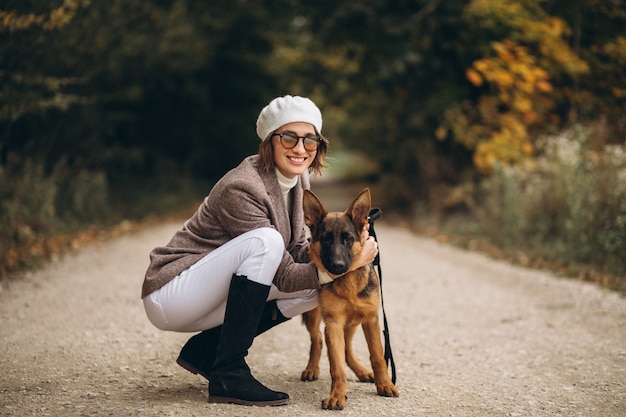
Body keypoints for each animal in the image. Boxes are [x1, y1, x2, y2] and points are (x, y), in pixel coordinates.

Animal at [300, 188, 398, 410]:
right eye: (326, 239)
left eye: (348, 239)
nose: (337, 266)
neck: (348, 286)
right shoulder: (334, 324)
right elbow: (336, 367)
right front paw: (337, 396)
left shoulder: (370, 319)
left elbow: (377, 355)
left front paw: (385, 384)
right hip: (315, 317)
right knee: (317, 339)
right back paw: (312, 369)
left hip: (353, 323)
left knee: (346, 349)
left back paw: (363, 372)